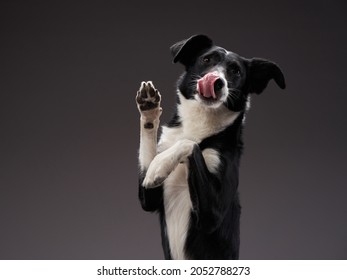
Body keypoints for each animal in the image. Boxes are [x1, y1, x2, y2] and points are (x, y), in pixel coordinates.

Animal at [135, 35, 286, 260]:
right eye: (206, 60)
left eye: (236, 71)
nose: (216, 81)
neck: (201, 121)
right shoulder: (149, 198)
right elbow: (151, 165)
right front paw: (149, 109)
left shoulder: (212, 214)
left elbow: (189, 144)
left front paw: (160, 165)